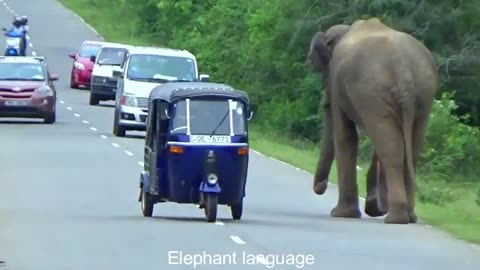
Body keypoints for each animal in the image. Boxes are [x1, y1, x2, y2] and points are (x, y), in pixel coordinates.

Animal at [308, 16, 438, 224]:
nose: (320, 187)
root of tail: (403, 70)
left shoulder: (337, 80)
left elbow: (345, 135)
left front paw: (342, 214)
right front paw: (373, 207)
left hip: (372, 91)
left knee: (391, 149)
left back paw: (395, 217)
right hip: (423, 95)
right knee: (409, 148)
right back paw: (409, 217)